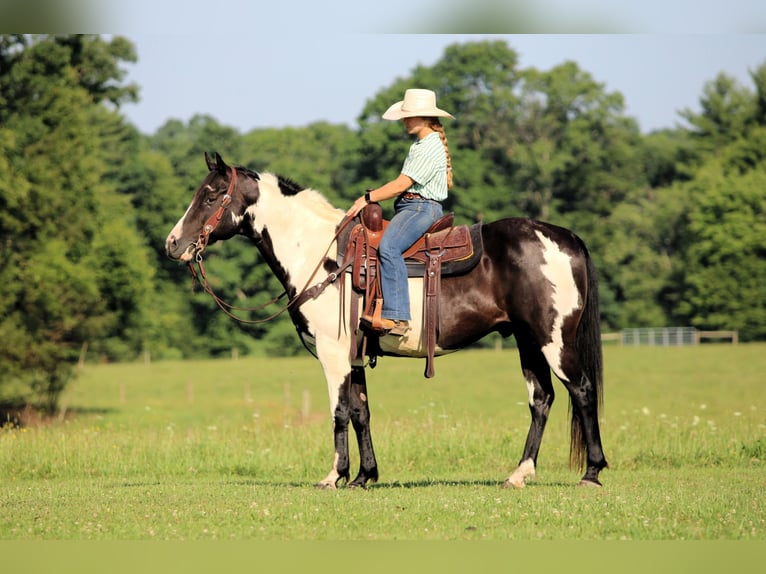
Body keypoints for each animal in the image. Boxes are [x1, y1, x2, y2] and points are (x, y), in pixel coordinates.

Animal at [165, 152, 608, 489]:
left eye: (210, 196)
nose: (173, 244)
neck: (321, 256)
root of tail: (563, 237)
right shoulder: (354, 354)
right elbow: (361, 412)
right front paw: (365, 476)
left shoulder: (332, 352)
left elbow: (339, 412)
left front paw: (334, 476)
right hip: (527, 340)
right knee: (541, 399)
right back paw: (519, 474)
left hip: (553, 340)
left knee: (582, 391)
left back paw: (591, 473)